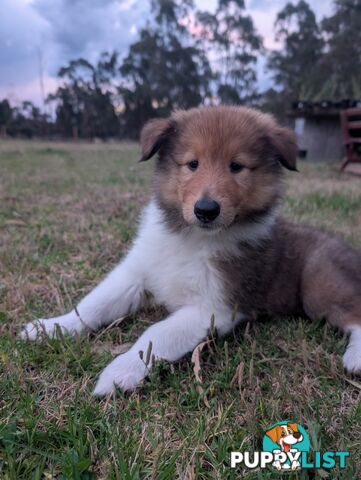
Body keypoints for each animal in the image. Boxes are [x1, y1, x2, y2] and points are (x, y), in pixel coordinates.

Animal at [20, 107, 361, 396]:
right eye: (192, 163)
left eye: (237, 166)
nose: (206, 210)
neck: (191, 238)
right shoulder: (137, 273)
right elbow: (93, 304)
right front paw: (51, 327)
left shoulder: (213, 307)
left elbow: (156, 334)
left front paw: (120, 372)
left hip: (320, 284)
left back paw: (355, 358)